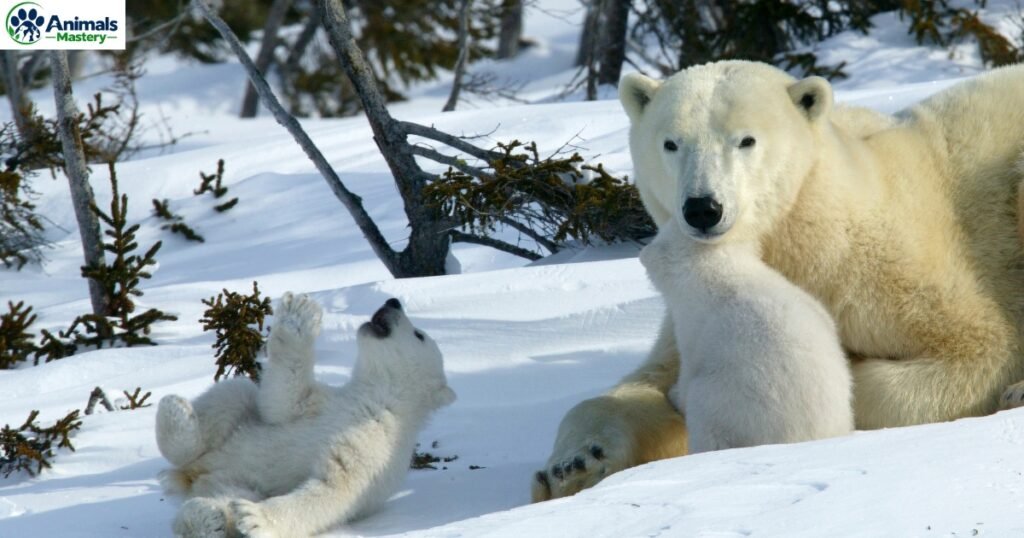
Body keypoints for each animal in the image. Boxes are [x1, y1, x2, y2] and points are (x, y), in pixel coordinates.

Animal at [155, 294, 456, 537]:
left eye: (418, 335)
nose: (392, 302)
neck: (375, 398)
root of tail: (194, 475)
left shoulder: (376, 444)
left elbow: (336, 487)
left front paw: (255, 517)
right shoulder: (321, 402)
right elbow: (282, 400)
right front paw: (298, 312)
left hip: (243, 484)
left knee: (228, 498)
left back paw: (210, 517)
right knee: (230, 396)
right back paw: (176, 415)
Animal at [640, 219, 853, 453]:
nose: (643, 253)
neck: (718, 268)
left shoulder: (694, 325)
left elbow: (689, 369)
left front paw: (674, 394)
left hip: (727, 404)